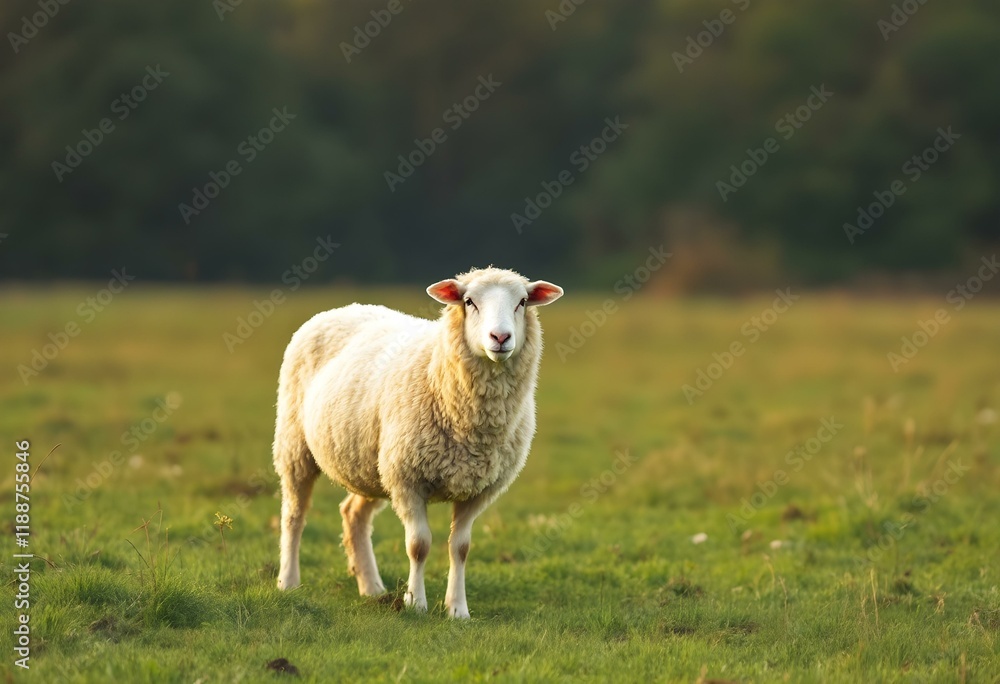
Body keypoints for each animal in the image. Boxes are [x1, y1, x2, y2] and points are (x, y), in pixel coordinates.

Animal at [272, 267, 563, 618]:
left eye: (522, 302)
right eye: (469, 301)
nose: (500, 338)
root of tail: (344, 307)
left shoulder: (477, 490)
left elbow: (460, 548)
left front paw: (458, 609)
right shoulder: (407, 479)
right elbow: (419, 545)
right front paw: (415, 603)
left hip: (371, 465)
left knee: (354, 514)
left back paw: (371, 587)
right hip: (295, 445)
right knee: (294, 515)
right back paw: (288, 582)